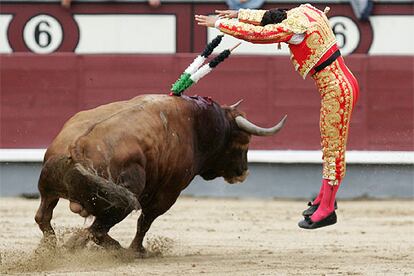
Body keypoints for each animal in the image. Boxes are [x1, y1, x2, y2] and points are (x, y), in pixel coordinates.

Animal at [34, 94, 284, 252]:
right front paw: (138, 249)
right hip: (121, 200)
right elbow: (146, 220)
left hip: (50, 188)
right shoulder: (168, 192)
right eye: (244, 142)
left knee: (45, 217)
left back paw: (51, 249)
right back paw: (113, 249)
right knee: (96, 230)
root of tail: (78, 145)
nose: (243, 173)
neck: (197, 123)